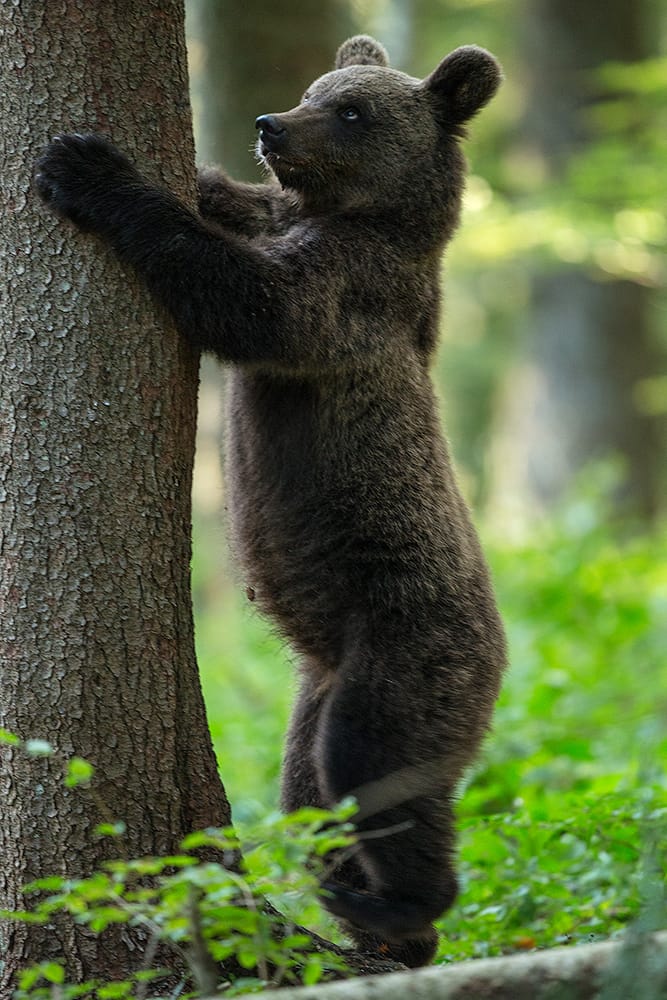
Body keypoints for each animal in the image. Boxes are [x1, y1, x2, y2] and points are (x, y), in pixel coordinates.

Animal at [35, 35, 506, 968]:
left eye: (352, 110)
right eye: (314, 89)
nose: (269, 123)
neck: (365, 220)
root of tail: (500, 653)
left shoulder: (348, 297)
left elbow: (252, 304)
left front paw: (87, 166)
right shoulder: (290, 227)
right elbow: (240, 212)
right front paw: (199, 173)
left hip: (406, 650)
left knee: (373, 771)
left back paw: (398, 908)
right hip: (314, 695)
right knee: (315, 797)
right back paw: (372, 920)